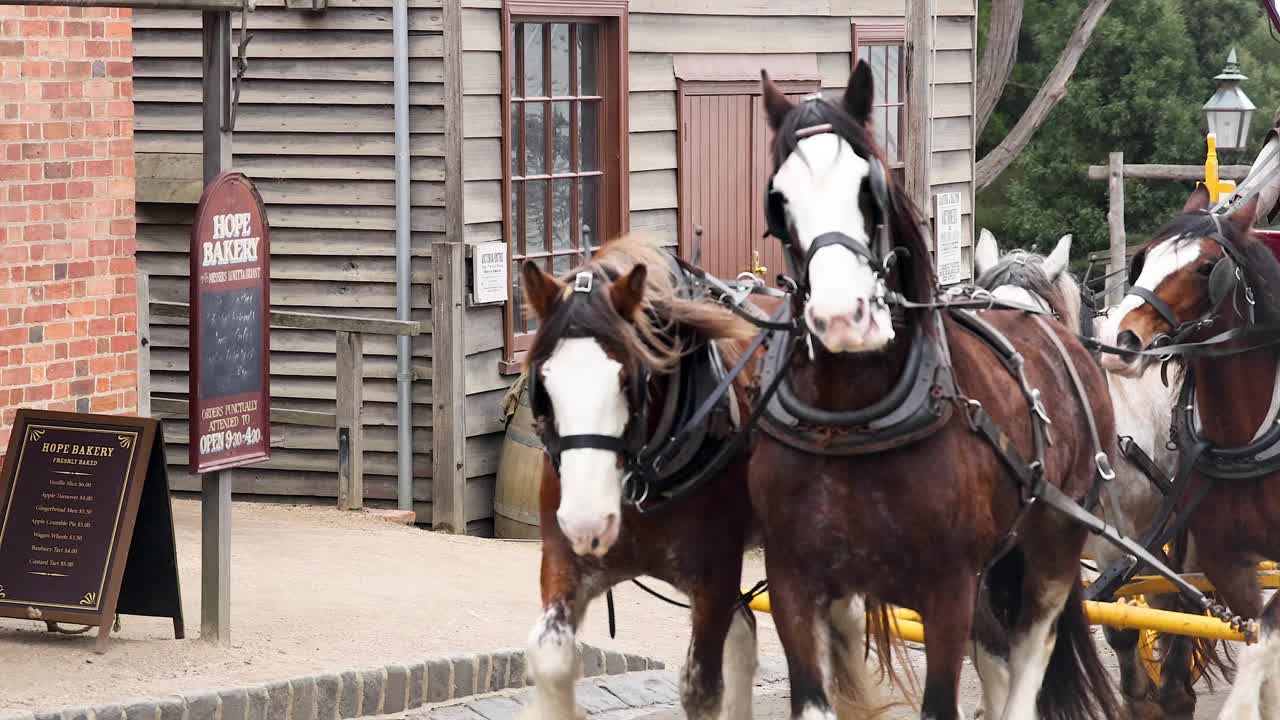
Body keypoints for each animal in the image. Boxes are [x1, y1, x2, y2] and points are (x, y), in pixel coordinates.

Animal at [747, 61, 1121, 717]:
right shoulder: (795, 582)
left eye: (868, 187)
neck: (854, 420)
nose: (842, 317)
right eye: (779, 198)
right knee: (997, 656)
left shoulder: (948, 591)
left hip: (1052, 544)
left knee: (1029, 655)